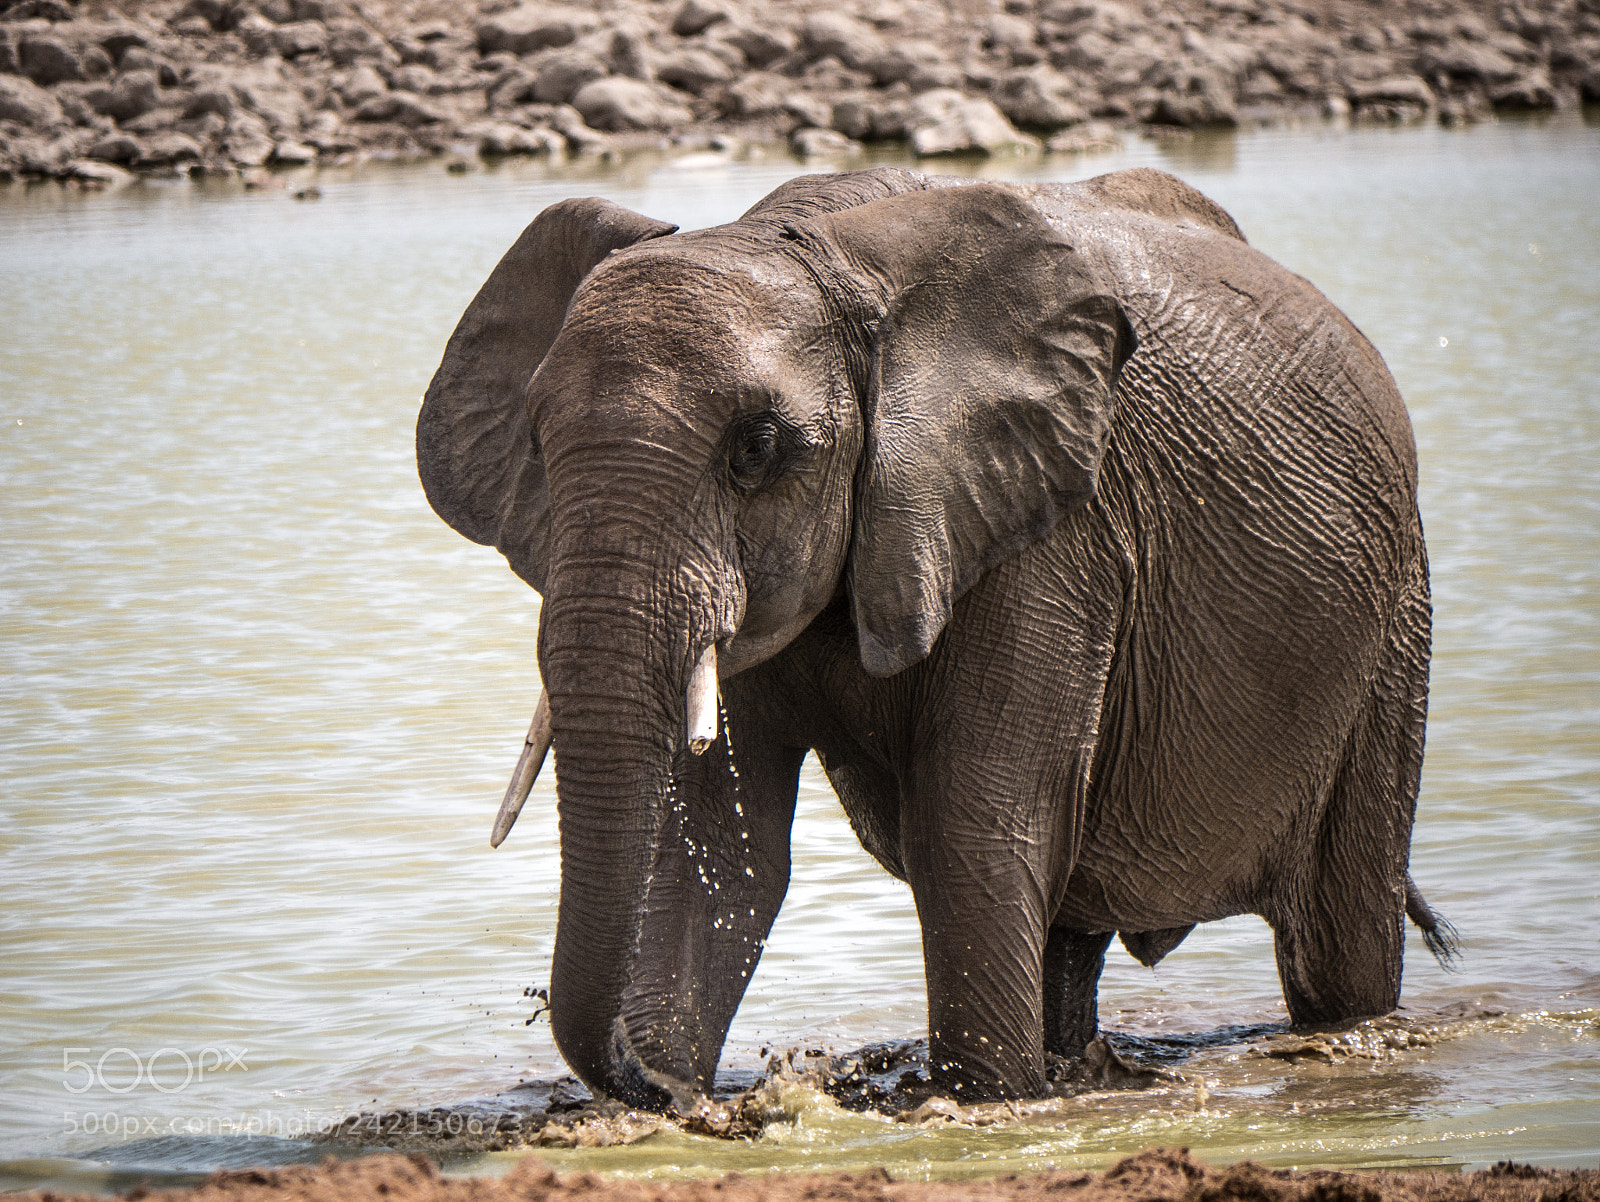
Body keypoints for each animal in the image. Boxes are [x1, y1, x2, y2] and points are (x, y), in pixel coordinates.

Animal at [416, 165, 1456, 1110]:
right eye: (538, 444)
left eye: (755, 449)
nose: (667, 1088)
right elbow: (720, 847)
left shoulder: (1050, 535)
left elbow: (972, 826)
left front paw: (979, 1106)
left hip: (1394, 619)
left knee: (1338, 941)